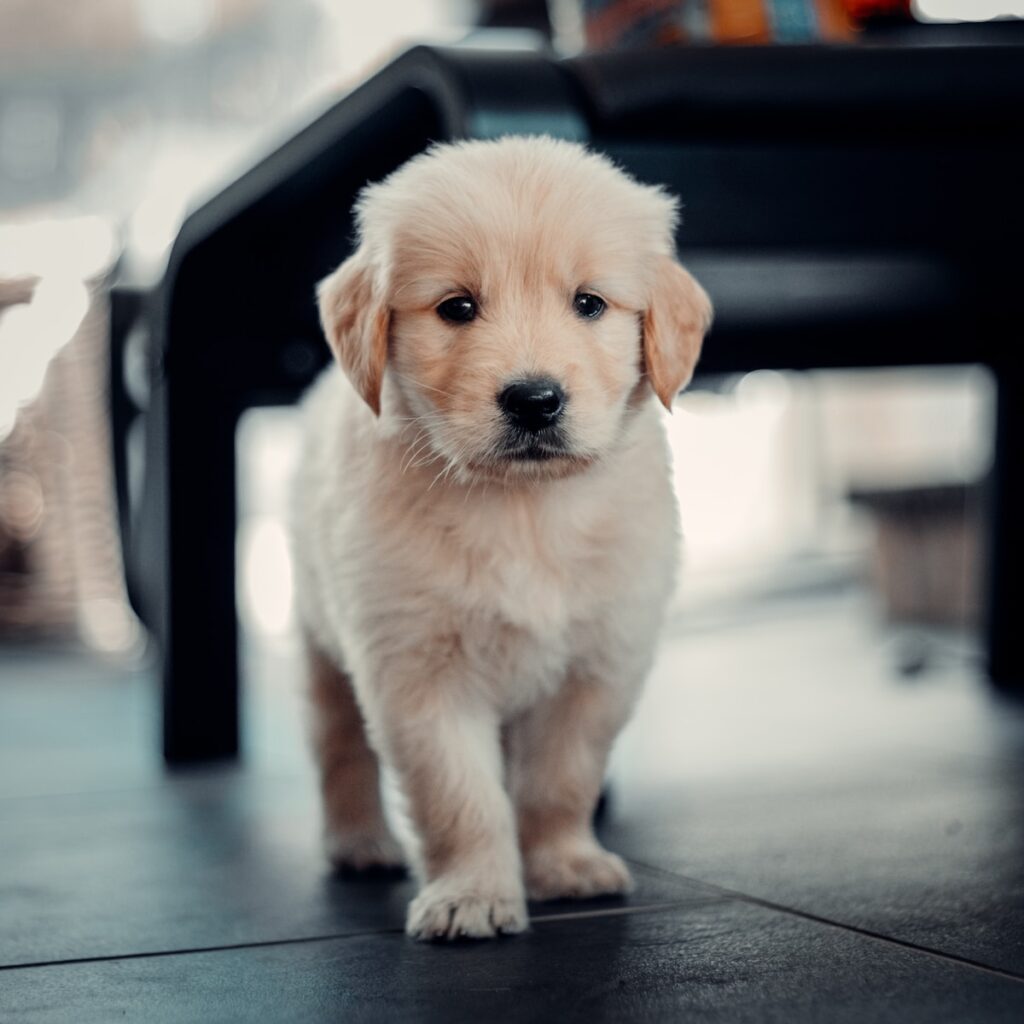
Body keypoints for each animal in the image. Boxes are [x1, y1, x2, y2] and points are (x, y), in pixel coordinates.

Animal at [292, 136, 712, 942]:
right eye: (457, 307)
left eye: (589, 303)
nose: (534, 400)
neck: (523, 506)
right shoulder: (416, 670)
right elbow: (458, 795)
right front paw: (472, 894)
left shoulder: (598, 663)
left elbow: (559, 780)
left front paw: (563, 866)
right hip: (318, 638)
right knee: (338, 749)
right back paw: (359, 841)